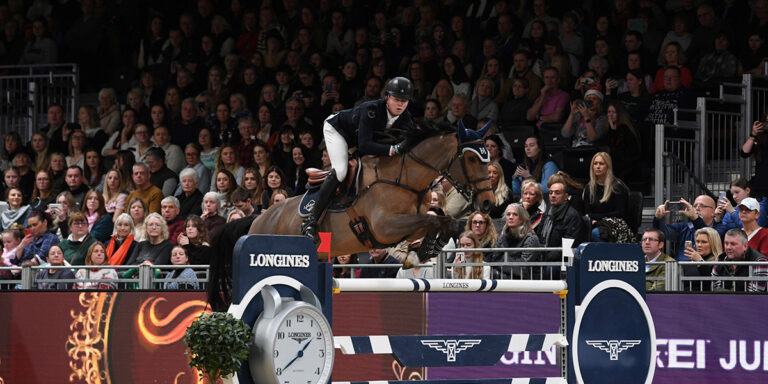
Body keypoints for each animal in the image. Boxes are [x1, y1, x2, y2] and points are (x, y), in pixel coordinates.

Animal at [248, 120, 498, 258]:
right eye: (472, 159)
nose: (488, 202)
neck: (406, 179)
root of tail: (259, 219)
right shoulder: (386, 227)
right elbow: (433, 220)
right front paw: (427, 250)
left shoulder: (410, 226)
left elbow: (441, 219)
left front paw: (429, 248)